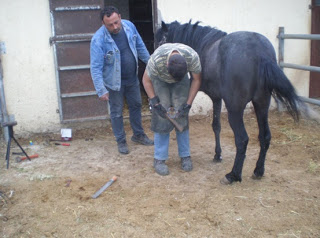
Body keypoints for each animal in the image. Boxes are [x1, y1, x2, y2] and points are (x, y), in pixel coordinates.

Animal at [156, 21, 306, 184]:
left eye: (160, 41)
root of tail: (260, 53)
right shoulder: (216, 98)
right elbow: (216, 126)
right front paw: (218, 155)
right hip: (262, 105)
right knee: (265, 136)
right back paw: (258, 171)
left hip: (235, 110)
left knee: (242, 139)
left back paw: (233, 175)